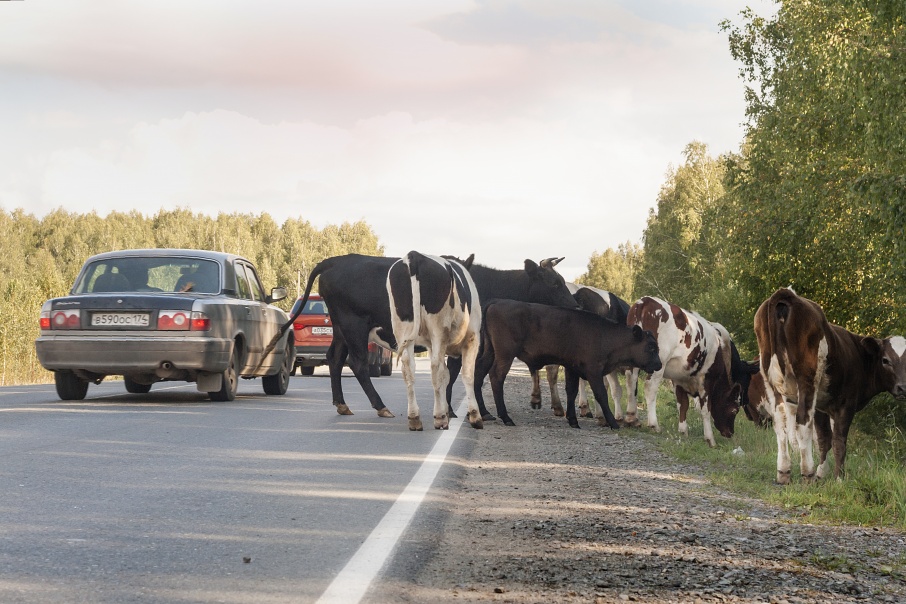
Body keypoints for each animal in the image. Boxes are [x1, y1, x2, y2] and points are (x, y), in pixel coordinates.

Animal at [388, 252, 488, 432]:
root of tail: (414, 256)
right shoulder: (472, 339)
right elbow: (467, 375)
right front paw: (474, 416)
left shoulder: (431, 345)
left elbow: (446, 375)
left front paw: (447, 411)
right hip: (438, 329)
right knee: (434, 368)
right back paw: (440, 418)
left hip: (402, 327)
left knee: (408, 368)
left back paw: (415, 418)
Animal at [474, 300, 656, 428]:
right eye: (651, 346)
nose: (659, 364)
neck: (605, 335)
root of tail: (496, 303)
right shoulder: (593, 371)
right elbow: (601, 395)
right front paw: (613, 423)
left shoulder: (572, 367)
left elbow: (572, 391)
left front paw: (573, 420)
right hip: (505, 354)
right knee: (496, 377)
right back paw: (505, 417)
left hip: (490, 352)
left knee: (478, 373)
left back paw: (485, 413)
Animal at [620, 298, 756, 448]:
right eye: (735, 410)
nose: (730, 433)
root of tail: (646, 301)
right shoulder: (706, 380)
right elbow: (705, 409)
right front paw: (710, 439)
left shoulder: (678, 379)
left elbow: (682, 404)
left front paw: (683, 431)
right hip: (658, 362)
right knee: (649, 387)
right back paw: (653, 424)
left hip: (633, 361)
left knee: (631, 381)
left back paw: (631, 417)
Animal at [748, 290, 904, 484]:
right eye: (885, 360)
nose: (902, 387)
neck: (859, 355)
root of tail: (786, 294)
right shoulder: (845, 405)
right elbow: (839, 441)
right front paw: (839, 478)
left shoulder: (822, 406)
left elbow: (824, 439)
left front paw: (822, 473)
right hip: (807, 381)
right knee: (802, 423)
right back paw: (807, 472)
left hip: (771, 383)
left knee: (780, 423)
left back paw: (783, 471)